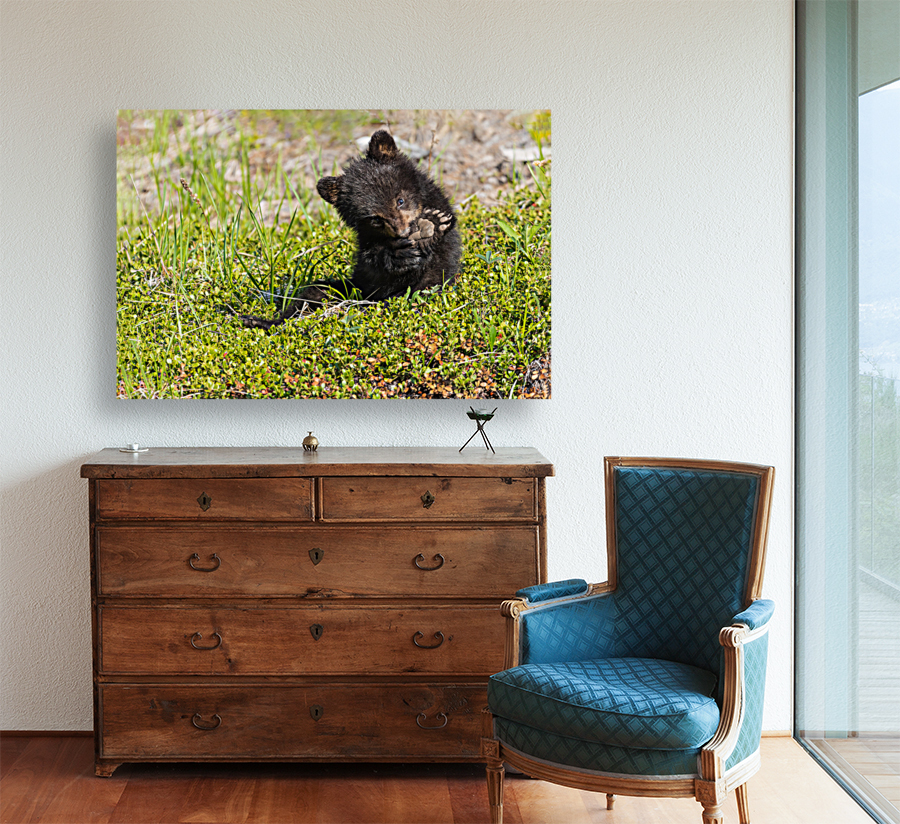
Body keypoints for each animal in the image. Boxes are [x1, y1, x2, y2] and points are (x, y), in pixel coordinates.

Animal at [240, 130, 462, 330]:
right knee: (313, 293)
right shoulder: (367, 242)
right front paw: (400, 253)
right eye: (375, 219)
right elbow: (373, 264)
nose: (403, 232)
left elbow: (434, 266)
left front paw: (429, 226)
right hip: (352, 288)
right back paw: (259, 320)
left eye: (400, 200)